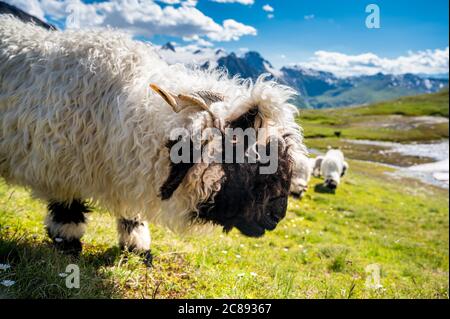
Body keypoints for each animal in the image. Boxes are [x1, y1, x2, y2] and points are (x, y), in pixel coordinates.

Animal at [0, 16, 306, 258]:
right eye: (255, 162)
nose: (276, 218)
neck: (119, 110)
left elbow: (130, 211)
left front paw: (137, 245)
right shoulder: (61, 164)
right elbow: (68, 209)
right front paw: (68, 242)